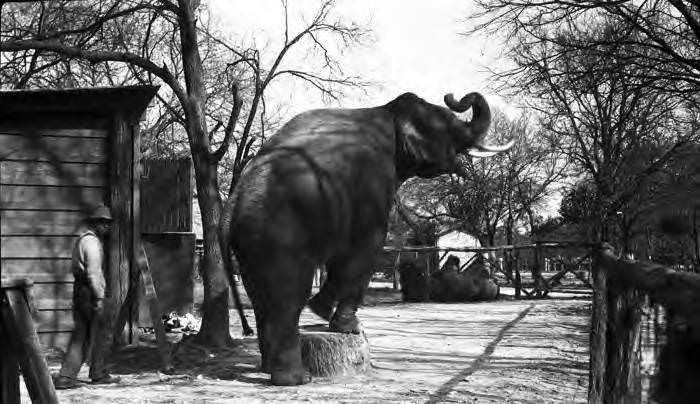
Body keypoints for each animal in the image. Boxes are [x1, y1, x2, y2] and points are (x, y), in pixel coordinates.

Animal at [221, 90, 512, 386]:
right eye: (450, 124)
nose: (452, 96)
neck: (389, 111)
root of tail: (232, 201)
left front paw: (322, 312)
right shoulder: (373, 180)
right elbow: (367, 244)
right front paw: (348, 325)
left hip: (251, 242)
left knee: (262, 299)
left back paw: (270, 368)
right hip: (278, 234)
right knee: (288, 295)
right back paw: (298, 379)